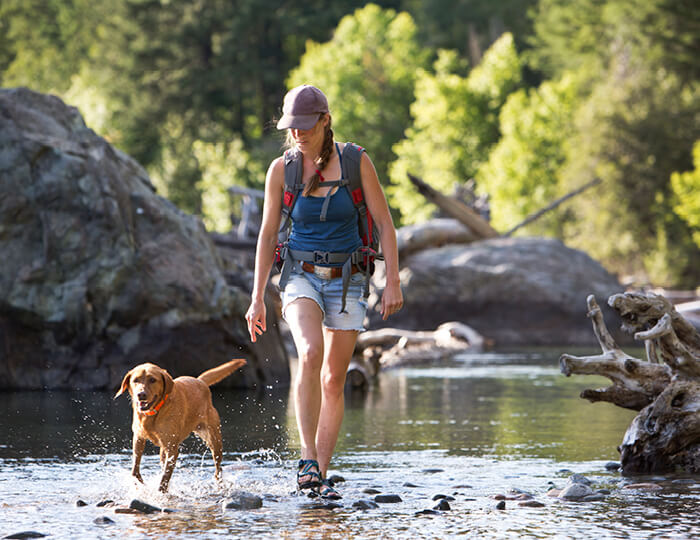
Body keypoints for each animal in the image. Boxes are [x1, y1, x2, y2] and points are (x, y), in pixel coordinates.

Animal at [115, 358, 246, 494]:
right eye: (136, 380)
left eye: (152, 380)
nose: (141, 394)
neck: (154, 413)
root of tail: (200, 381)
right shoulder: (139, 438)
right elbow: (135, 469)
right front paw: (140, 484)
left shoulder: (172, 449)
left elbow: (165, 477)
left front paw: (160, 492)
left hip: (214, 441)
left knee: (218, 468)